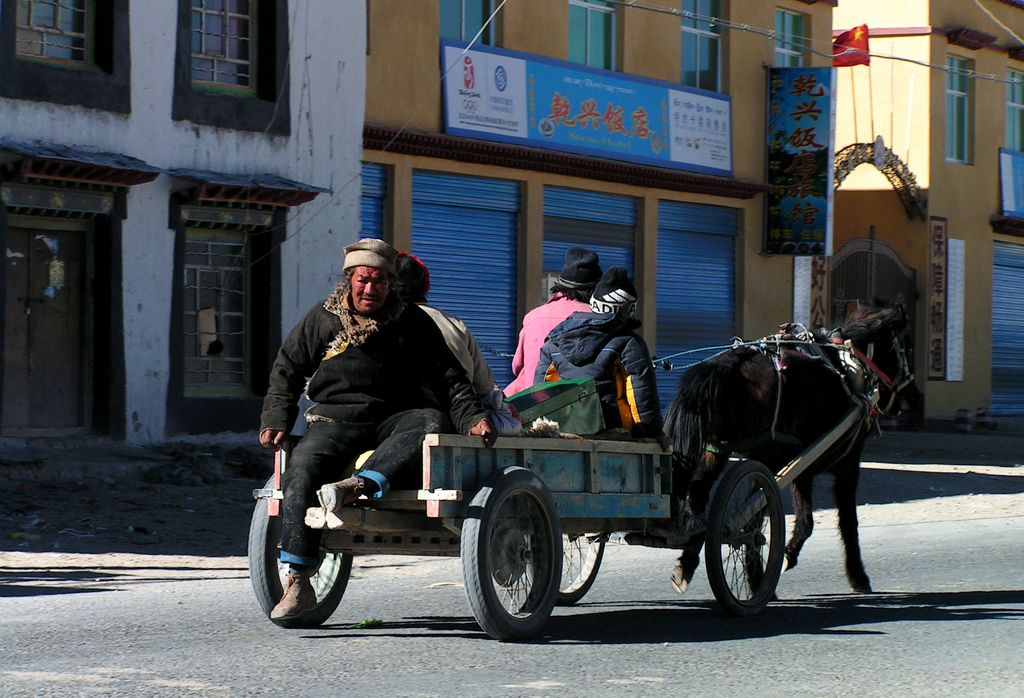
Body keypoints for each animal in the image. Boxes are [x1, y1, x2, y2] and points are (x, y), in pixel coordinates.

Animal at [663, 298, 921, 593]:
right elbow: (847, 521)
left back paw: (687, 565)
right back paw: (756, 581)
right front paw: (857, 576)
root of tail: (723, 367)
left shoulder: (802, 468)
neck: (848, 367)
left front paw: (789, 554)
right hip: (766, 457)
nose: (915, 399)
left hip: (716, 451)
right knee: (749, 519)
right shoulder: (847, 464)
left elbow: (806, 519)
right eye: (906, 345)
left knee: (698, 499)